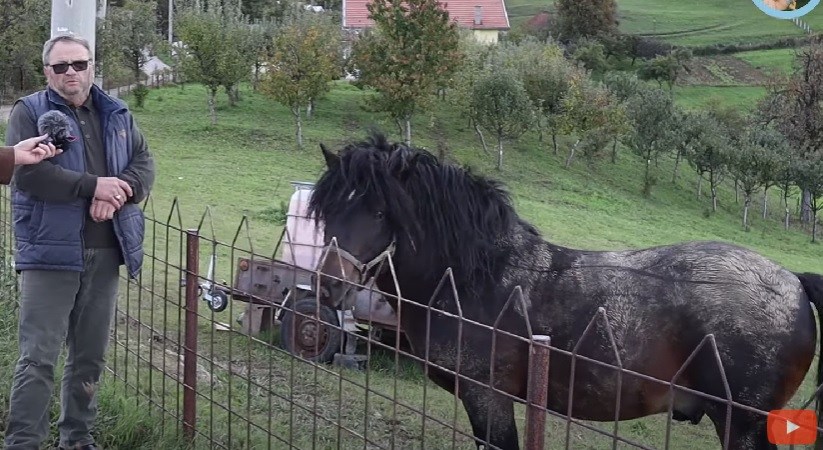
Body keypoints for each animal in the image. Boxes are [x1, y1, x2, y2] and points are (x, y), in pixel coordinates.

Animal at [308, 134, 823, 450]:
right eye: (327, 209)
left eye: (380, 212)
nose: (329, 285)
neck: (480, 280)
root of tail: (793, 280)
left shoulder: (488, 400)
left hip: (744, 427)